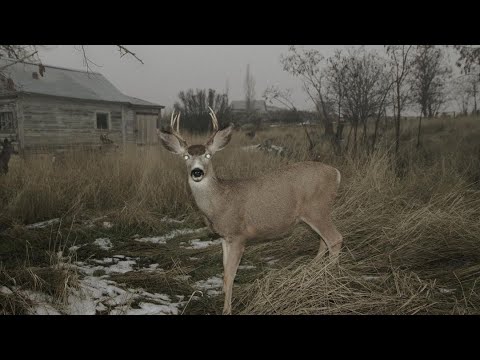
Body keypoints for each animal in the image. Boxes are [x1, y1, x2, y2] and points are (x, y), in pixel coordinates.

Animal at [158, 107, 342, 316]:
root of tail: (336, 173)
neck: (220, 201)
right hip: (317, 212)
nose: (197, 172)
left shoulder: (239, 235)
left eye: (208, 156)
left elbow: (230, 274)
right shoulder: (224, 236)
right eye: (186, 157)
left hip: (317, 208)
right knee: (323, 241)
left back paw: (331, 281)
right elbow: (224, 270)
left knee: (335, 239)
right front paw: (223, 297)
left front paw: (227, 309)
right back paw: (312, 273)